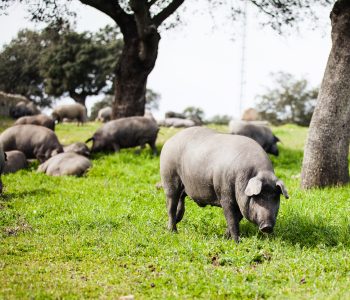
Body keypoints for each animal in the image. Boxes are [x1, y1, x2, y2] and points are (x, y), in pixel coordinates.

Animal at [160, 126, 288, 241]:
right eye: (258, 197)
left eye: (275, 197)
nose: (267, 226)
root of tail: (169, 141)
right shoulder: (225, 194)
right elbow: (231, 219)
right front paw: (236, 241)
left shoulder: (240, 202)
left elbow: (237, 218)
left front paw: (226, 237)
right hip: (169, 177)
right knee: (171, 205)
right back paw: (173, 231)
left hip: (184, 186)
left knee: (180, 201)